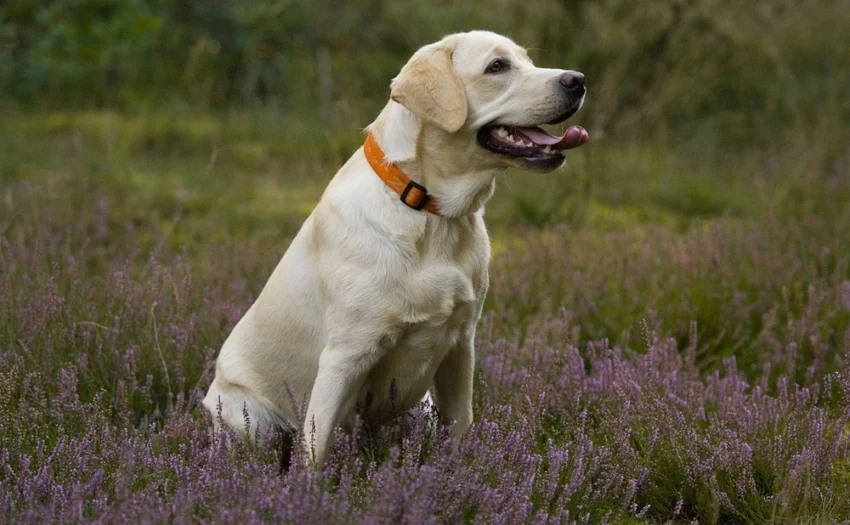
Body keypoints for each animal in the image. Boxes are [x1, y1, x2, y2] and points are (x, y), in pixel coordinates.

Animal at [202, 30, 588, 464]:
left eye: (527, 60)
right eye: (497, 66)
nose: (578, 80)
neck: (430, 212)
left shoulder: (461, 345)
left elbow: (461, 426)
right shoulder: (344, 357)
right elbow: (315, 452)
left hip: (421, 408)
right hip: (251, 420)